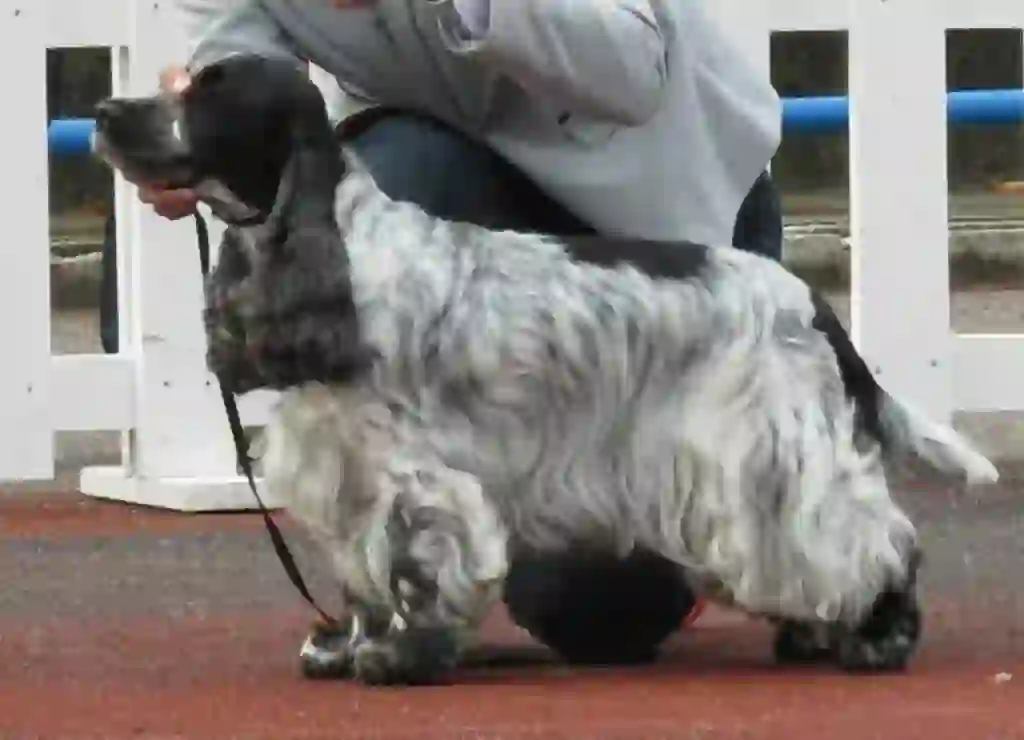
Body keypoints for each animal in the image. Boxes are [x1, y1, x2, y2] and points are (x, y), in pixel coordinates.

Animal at [92, 56, 995, 687]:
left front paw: (403, 658)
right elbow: (362, 575)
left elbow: (415, 566)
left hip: (773, 457)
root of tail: (811, 300)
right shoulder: (348, 474)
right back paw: (814, 632)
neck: (342, 260)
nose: (104, 113)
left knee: (875, 544)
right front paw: (349, 648)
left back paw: (877, 638)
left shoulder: (416, 477)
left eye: (211, 94)